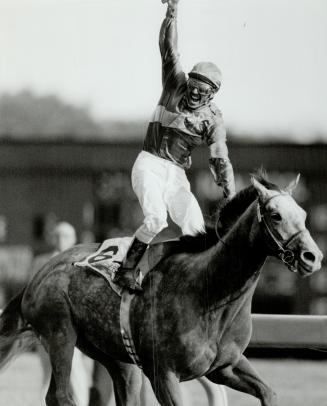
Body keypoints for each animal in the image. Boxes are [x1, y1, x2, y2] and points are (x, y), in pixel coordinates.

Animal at [0, 172, 322, 406]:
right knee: (61, 395)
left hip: (114, 356)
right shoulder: (164, 374)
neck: (210, 292)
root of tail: (39, 274)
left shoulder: (226, 367)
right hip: (60, 334)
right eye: (275, 214)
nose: (313, 257)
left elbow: (269, 393)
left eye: (303, 214)